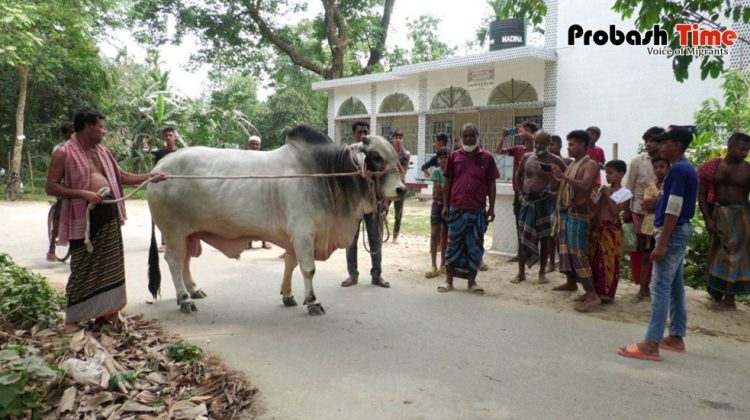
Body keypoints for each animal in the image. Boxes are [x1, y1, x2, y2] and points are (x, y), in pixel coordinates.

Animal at [146, 124, 406, 316]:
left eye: (395, 156)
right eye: (376, 157)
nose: (401, 189)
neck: (326, 174)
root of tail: (159, 167)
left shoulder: (294, 237)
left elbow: (290, 264)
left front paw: (288, 295)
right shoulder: (303, 233)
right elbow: (308, 269)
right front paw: (312, 301)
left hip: (189, 233)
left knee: (186, 261)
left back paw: (194, 290)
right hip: (173, 231)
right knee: (174, 261)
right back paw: (184, 300)